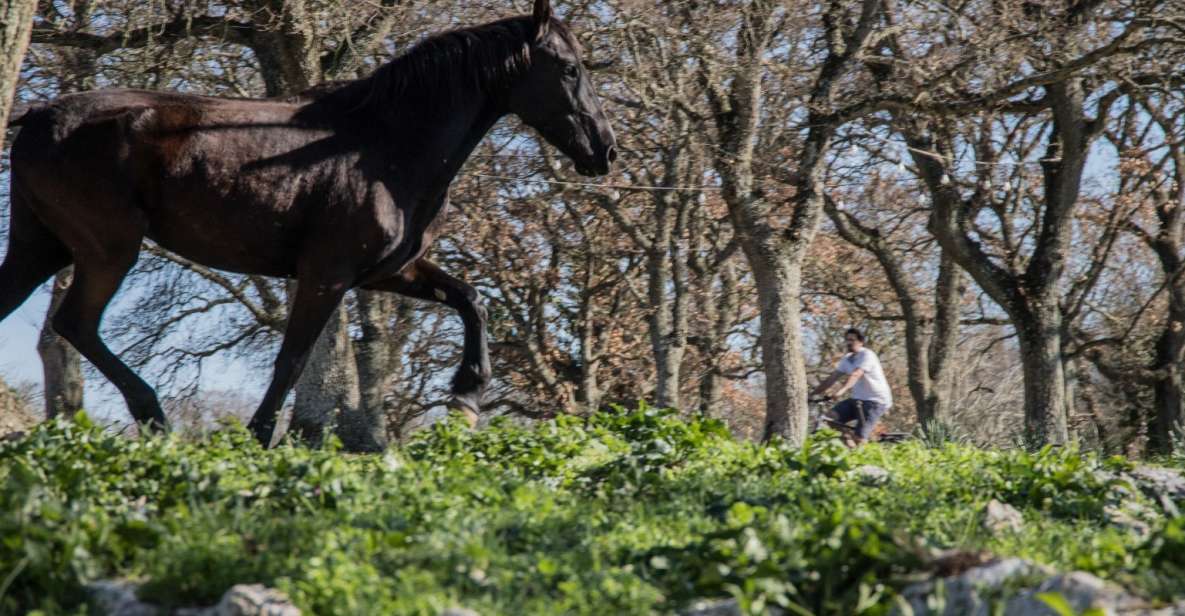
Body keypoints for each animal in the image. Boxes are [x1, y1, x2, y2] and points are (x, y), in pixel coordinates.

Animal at [2, 0, 620, 445]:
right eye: (570, 69)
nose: (605, 150)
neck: (384, 146)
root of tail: (37, 116)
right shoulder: (326, 275)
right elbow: (293, 359)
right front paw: (258, 437)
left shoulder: (389, 272)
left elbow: (471, 299)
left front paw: (466, 397)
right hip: (108, 249)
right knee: (77, 323)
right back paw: (154, 416)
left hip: (43, 248)